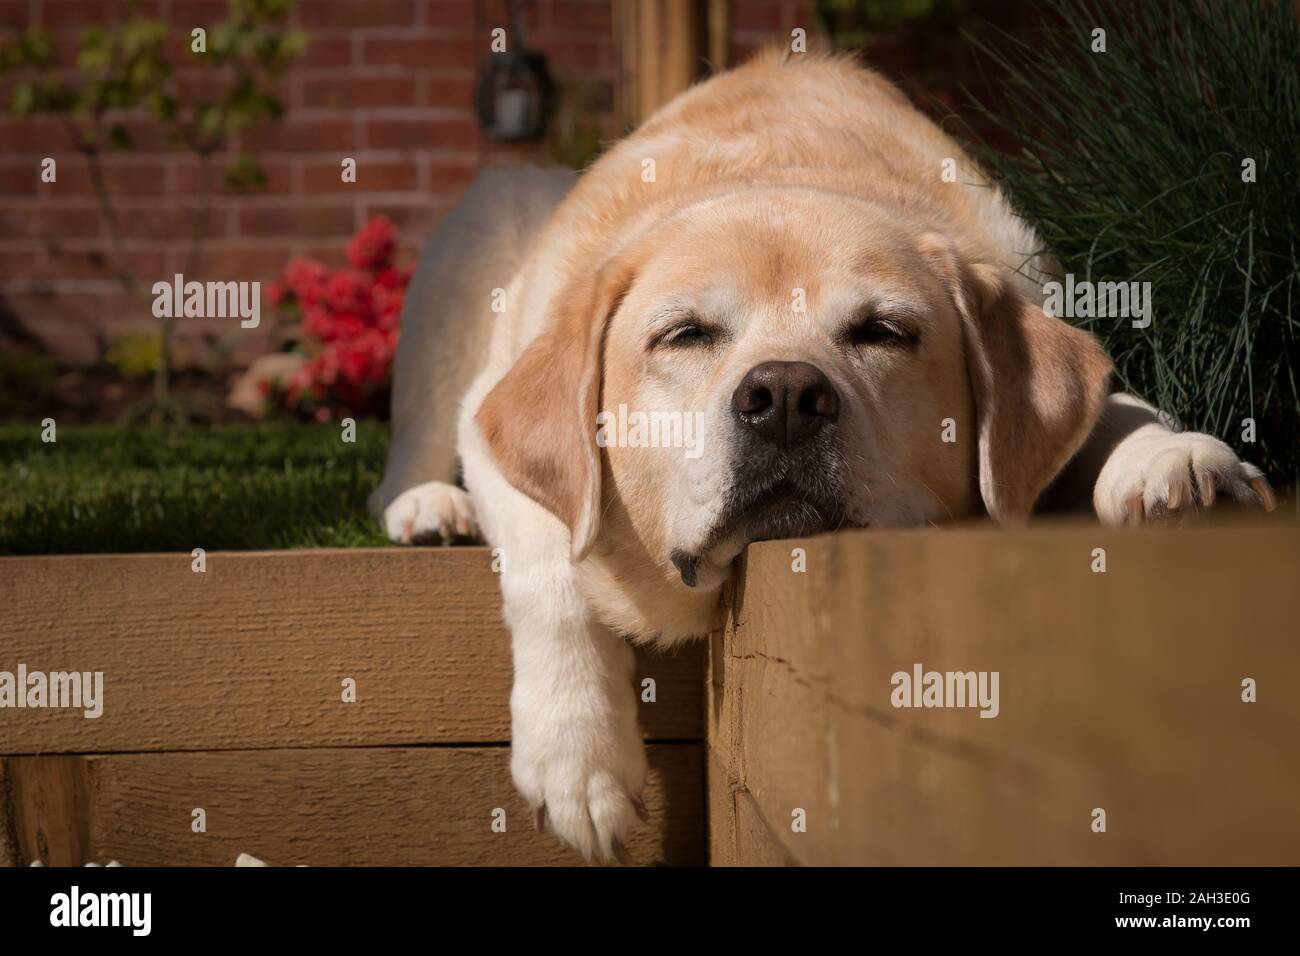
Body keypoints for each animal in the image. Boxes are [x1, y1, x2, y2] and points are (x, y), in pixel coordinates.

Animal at [371, 50, 1274, 858]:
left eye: (883, 331)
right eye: (685, 334)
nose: (783, 396)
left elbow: (1117, 412)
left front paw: (1175, 465)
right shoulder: (496, 425)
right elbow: (552, 565)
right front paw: (577, 759)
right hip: (474, 246)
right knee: (406, 457)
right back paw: (431, 509)